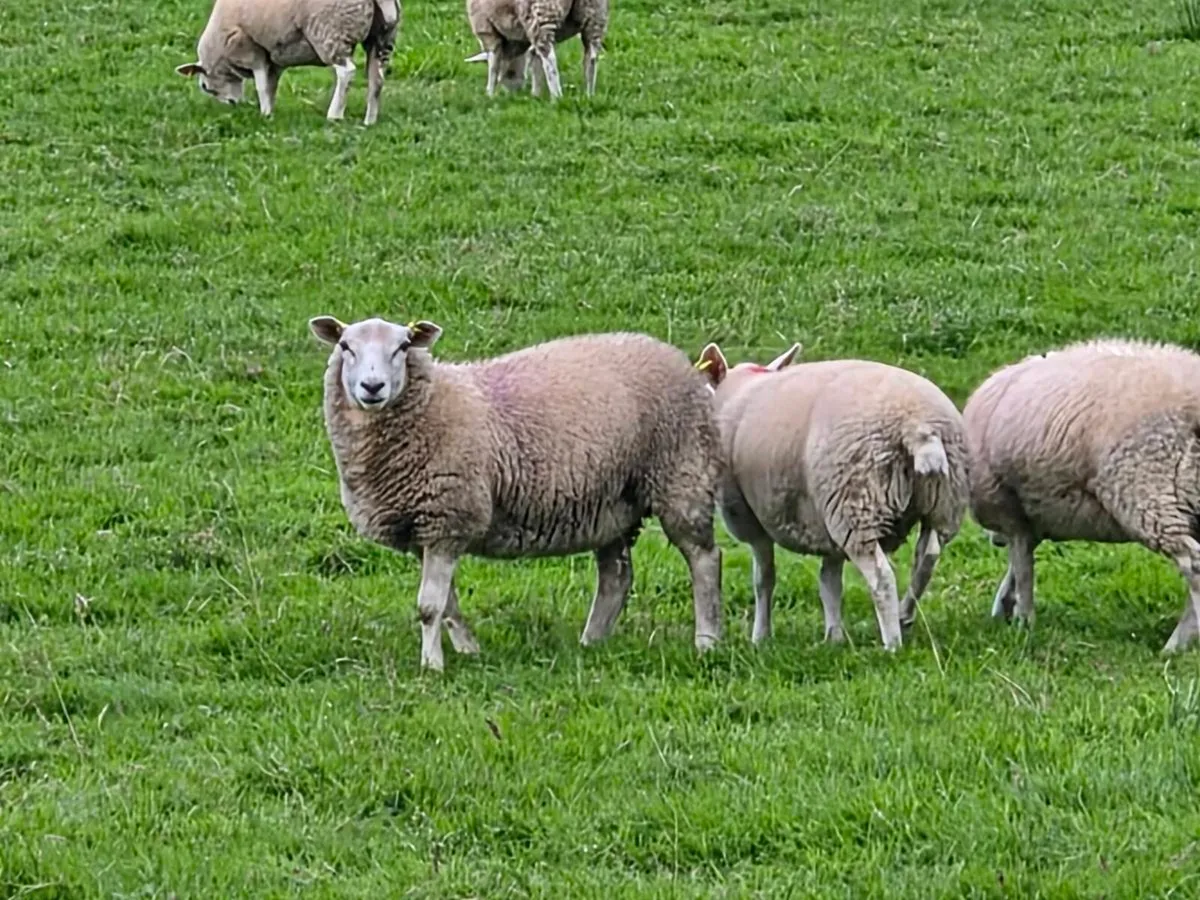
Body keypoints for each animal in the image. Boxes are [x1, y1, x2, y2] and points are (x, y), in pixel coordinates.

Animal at [174, 0, 401, 125]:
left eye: (205, 87)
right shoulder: (275, 58)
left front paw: (264, 113)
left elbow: (261, 85)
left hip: (330, 32)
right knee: (377, 79)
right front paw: (269, 112)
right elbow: (271, 85)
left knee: (347, 72)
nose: (233, 105)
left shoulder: (252, 50)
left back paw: (334, 115)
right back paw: (369, 121)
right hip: (382, 38)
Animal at [308, 315, 723, 671]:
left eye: (403, 346)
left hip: (681, 474)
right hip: (613, 502)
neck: (433, 403)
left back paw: (706, 642)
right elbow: (449, 604)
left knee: (704, 559)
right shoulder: (426, 530)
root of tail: (675, 356)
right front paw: (468, 650)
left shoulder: (448, 519)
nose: (372, 387)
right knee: (616, 575)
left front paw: (432, 666)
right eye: (345, 346)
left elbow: (429, 606)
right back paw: (591, 643)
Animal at [463, 0, 608, 99]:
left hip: (541, 16)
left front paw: (489, 94)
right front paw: (536, 95)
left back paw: (557, 97)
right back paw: (589, 95)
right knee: (591, 58)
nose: (511, 93)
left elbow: (493, 66)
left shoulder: (488, 33)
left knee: (550, 60)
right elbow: (535, 61)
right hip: (596, 15)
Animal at [695, 342, 969, 650]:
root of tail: (919, 428)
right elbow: (829, 583)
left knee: (882, 577)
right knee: (927, 558)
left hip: (856, 503)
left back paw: (892, 644)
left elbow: (764, 579)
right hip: (941, 503)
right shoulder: (825, 523)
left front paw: (760, 637)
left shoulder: (751, 519)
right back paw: (904, 615)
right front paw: (834, 637)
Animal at [963, 338, 1200, 653]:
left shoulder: (1012, 513)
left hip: (1148, 493)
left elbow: (1023, 568)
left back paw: (1174, 645)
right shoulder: (1032, 519)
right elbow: (1016, 567)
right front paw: (1005, 607)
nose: (995, 541)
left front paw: (1024, 622)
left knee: (1193, 566)